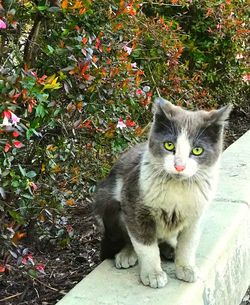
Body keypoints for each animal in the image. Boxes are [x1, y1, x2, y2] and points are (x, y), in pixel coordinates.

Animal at [94, 97, 232, 288]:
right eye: (169, 145)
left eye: (197, 150)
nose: (179, 166)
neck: (178, 190)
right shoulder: (134, 203)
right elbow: (145, 244)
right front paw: (153, 273)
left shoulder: (197, 215)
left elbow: (188, 244)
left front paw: (186, 267)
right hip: (109, 203)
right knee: (128, 236)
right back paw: (127, 254)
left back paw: (170, 249)